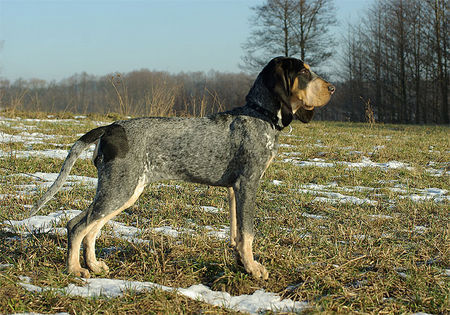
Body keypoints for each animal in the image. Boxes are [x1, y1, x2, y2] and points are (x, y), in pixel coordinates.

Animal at [30, 56, 334, 278]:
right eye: (304, 72)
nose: (332, 88)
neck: (260, 114)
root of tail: (110, 128)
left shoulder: (234, 190)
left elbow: (237, 234)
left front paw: (241, 263)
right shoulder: (248, 183)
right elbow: (247, 233)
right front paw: (253, 269)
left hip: (126, 190)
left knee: (90, 228)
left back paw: (93, 265)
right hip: (119, 188)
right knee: (77, 225)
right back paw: (75, 270)